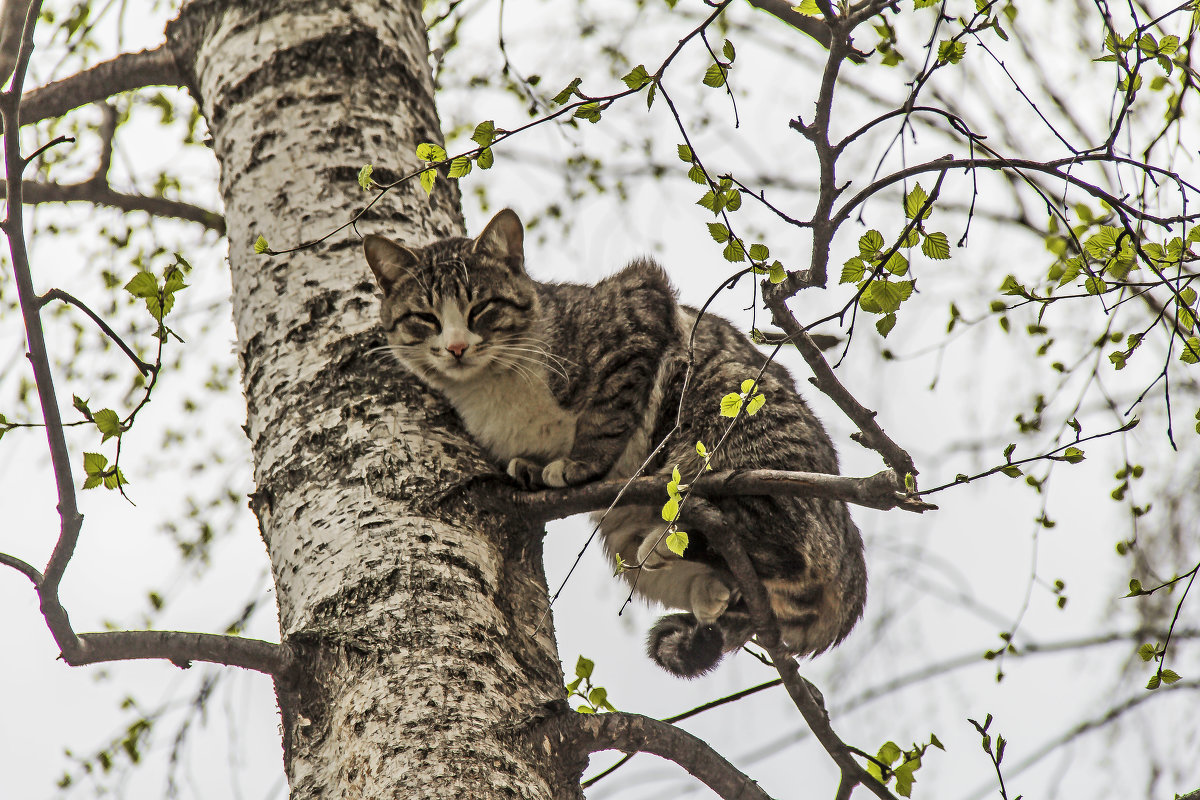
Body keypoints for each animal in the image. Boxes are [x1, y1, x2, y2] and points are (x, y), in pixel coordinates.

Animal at [360, 208, 868, 676]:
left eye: (481, 309)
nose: (457, 347)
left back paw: (671, 539)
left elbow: (606, 413)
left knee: (785, 542)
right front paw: (531, 467)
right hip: (625, 534)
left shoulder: (638, 304)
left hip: (729, 431)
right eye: (424, 318)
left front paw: (579, 463)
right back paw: (711, 589)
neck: (494, 389)